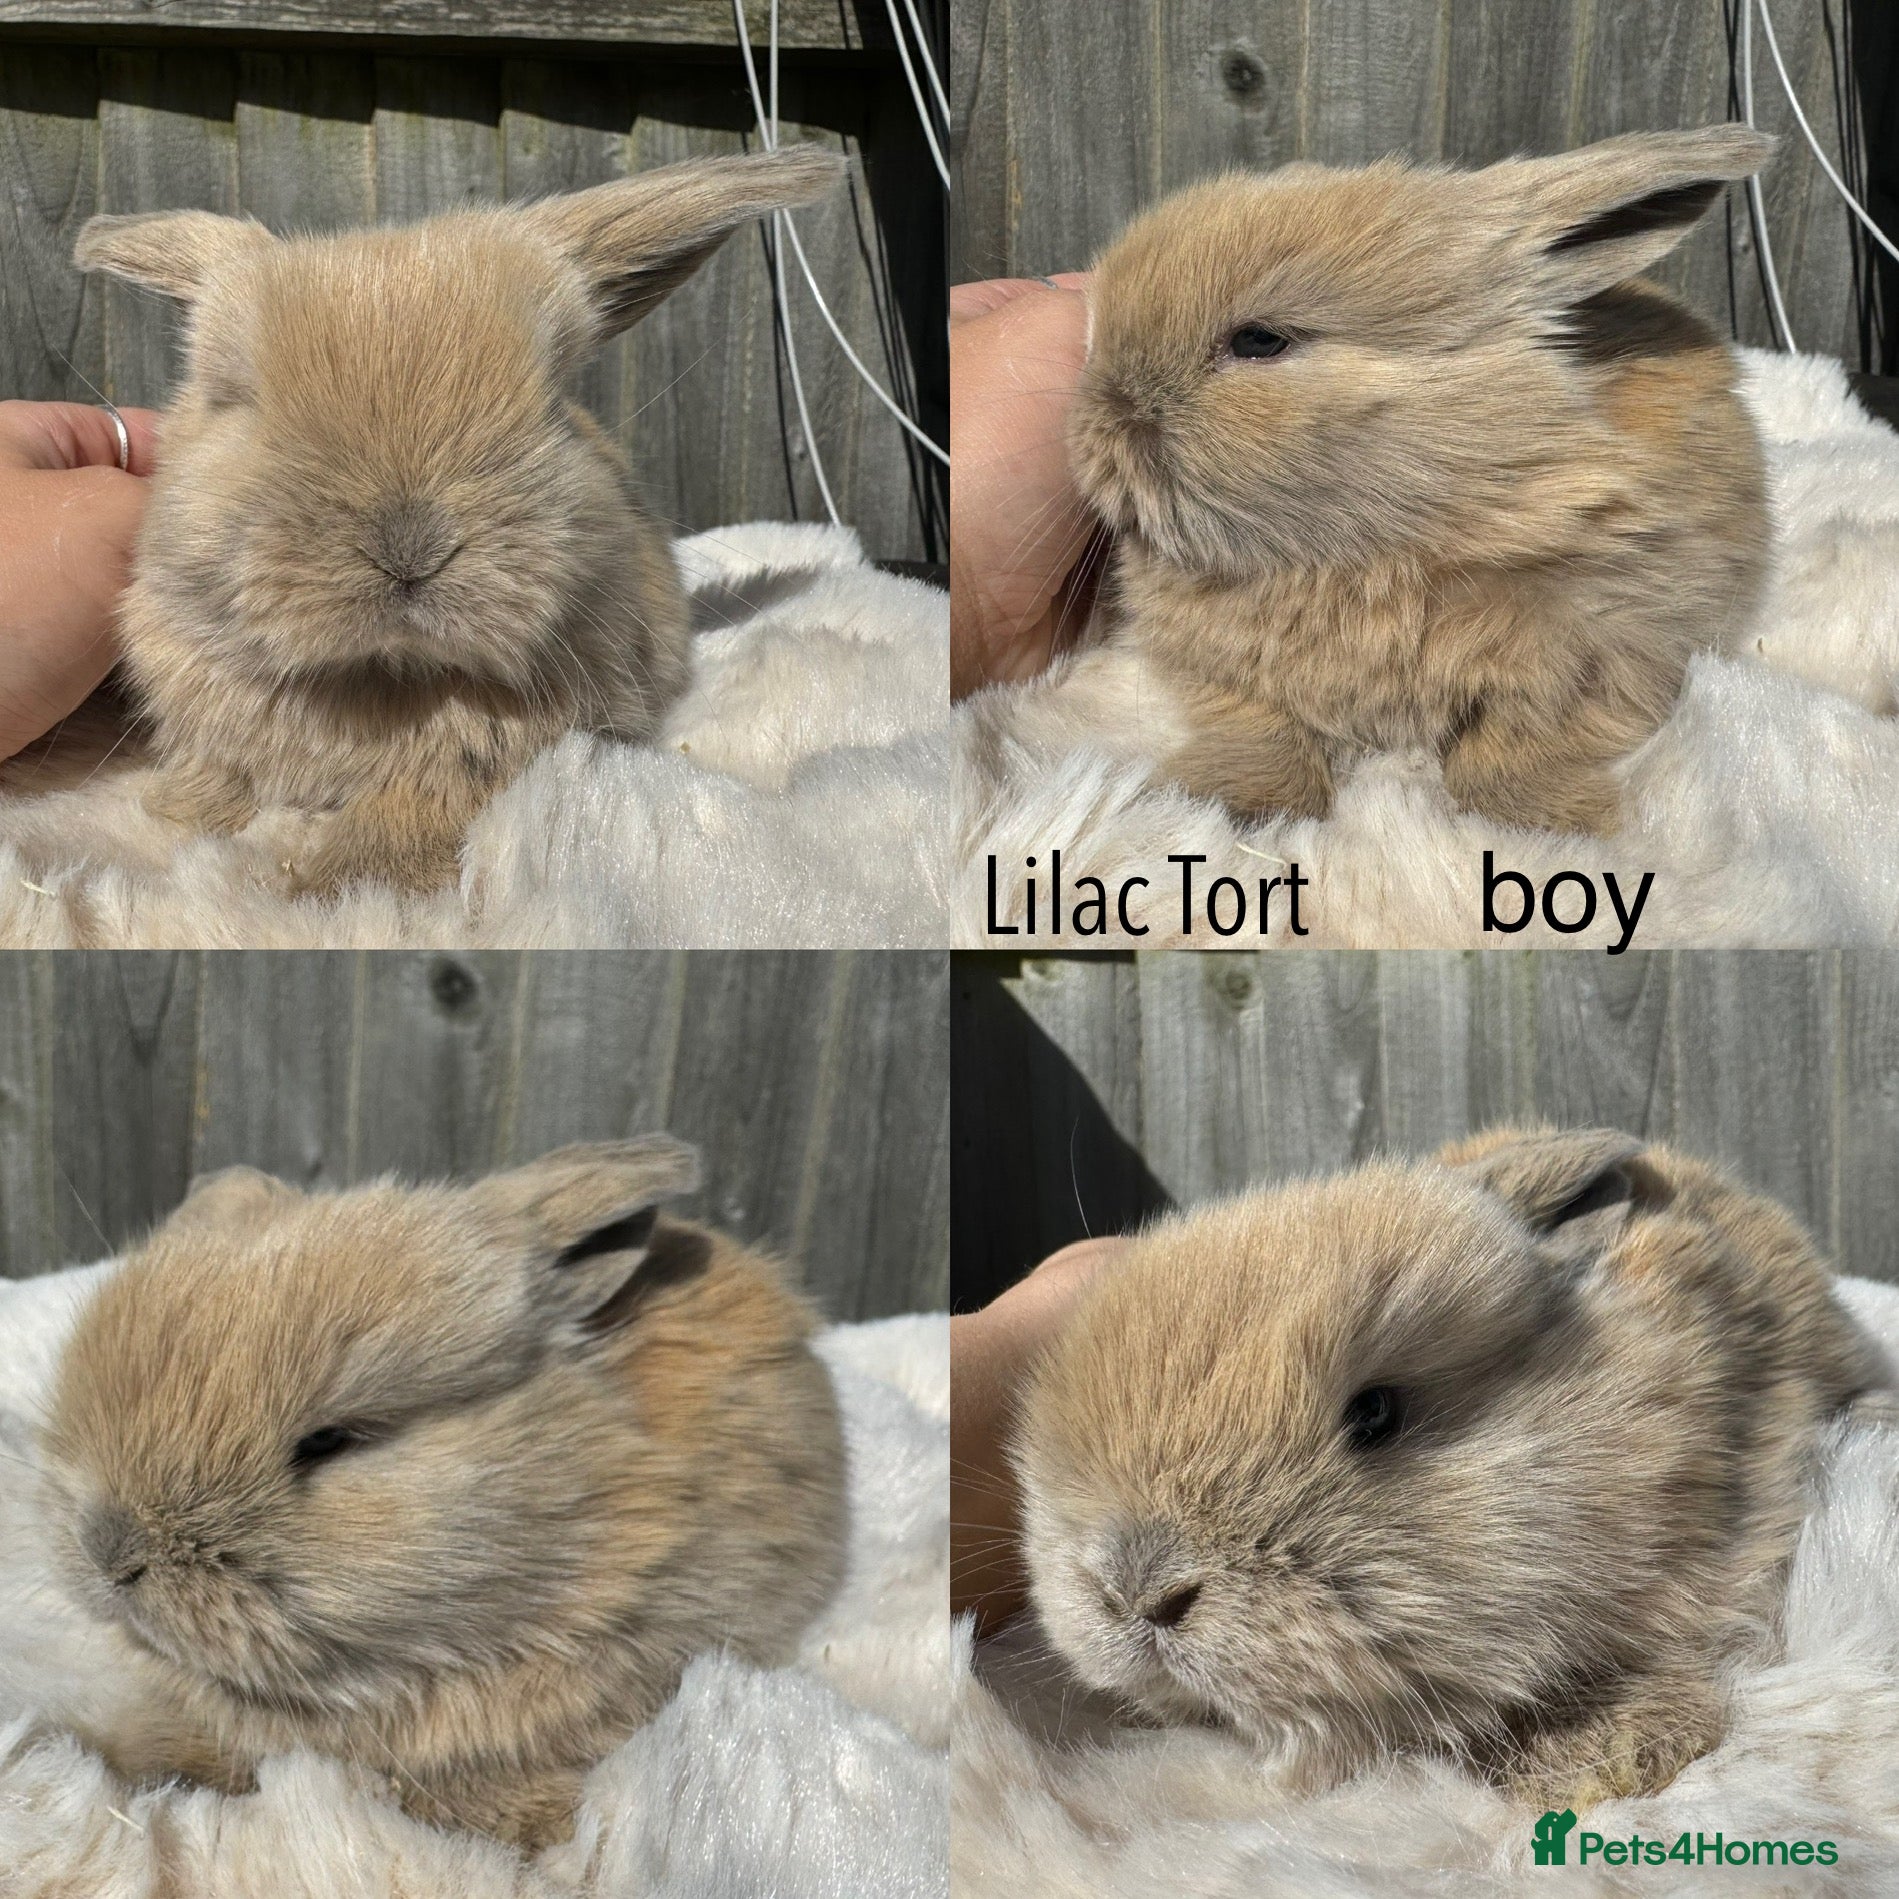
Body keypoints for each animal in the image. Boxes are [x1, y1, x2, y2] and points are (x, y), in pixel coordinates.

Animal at [72, 145, 844, 897]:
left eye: (553, 399)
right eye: (235, 398)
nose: (410, 550)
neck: (384, 681)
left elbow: (412, 810)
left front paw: (350, 882)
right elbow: (221, 777)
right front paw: (186, 811)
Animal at [1002, 126, 1774, 838]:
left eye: (1260, 340)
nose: (1094, 431)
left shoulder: (1610, 654)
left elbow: (1518, 748)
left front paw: (1545, 826)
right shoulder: (1228, 678)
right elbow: (1261, 728)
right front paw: (1246, 807)